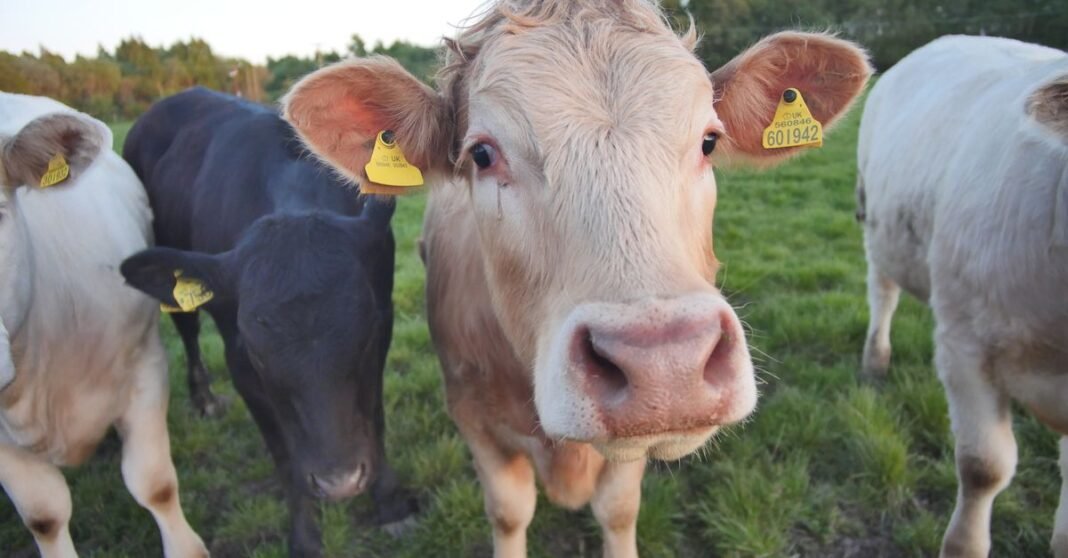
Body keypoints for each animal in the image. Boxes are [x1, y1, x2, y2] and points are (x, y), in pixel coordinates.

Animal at [118, 88, 414, 557]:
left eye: (364, 336)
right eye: (257, 354)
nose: (340, 481)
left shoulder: (381, 326)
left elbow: (374, 413)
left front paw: (391, 505)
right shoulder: (239, 362)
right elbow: (283, 453)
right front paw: (304, 538)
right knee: (188, 331)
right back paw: (204, 399)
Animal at [282, 1, 872, 555]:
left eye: (708, 141)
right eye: (482, 154)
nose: (665, 366)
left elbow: (618, 509)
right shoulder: (473, 418)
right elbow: (508, 512)